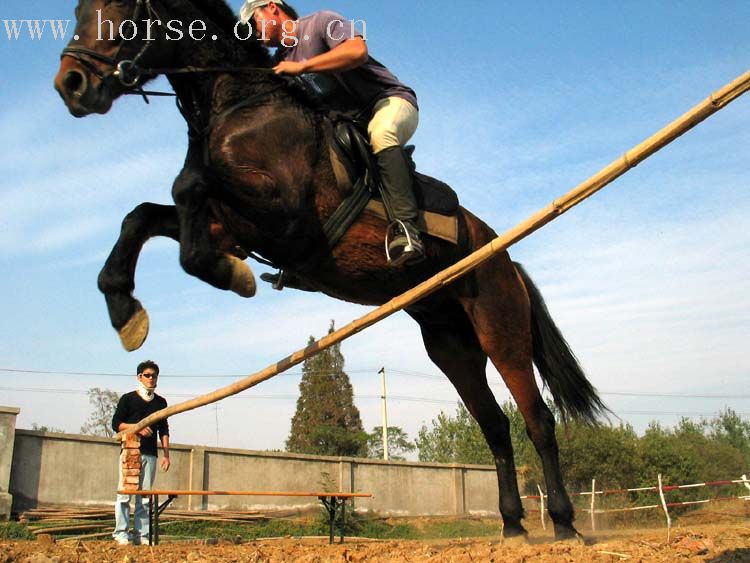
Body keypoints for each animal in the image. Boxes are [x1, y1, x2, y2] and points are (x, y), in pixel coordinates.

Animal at [53, 0, 608, 540]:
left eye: (119, 9)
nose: (70, 84)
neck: (239, 104)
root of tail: (502, 256)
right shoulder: (229, 224)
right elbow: (145, 214)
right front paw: (127, 311)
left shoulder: (288, 222)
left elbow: (186, 188)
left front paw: (229, 275)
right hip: (451, 342)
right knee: (494, 425)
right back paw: (512, 525)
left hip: (499, 324)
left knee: (537, 419)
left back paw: (563, 524)